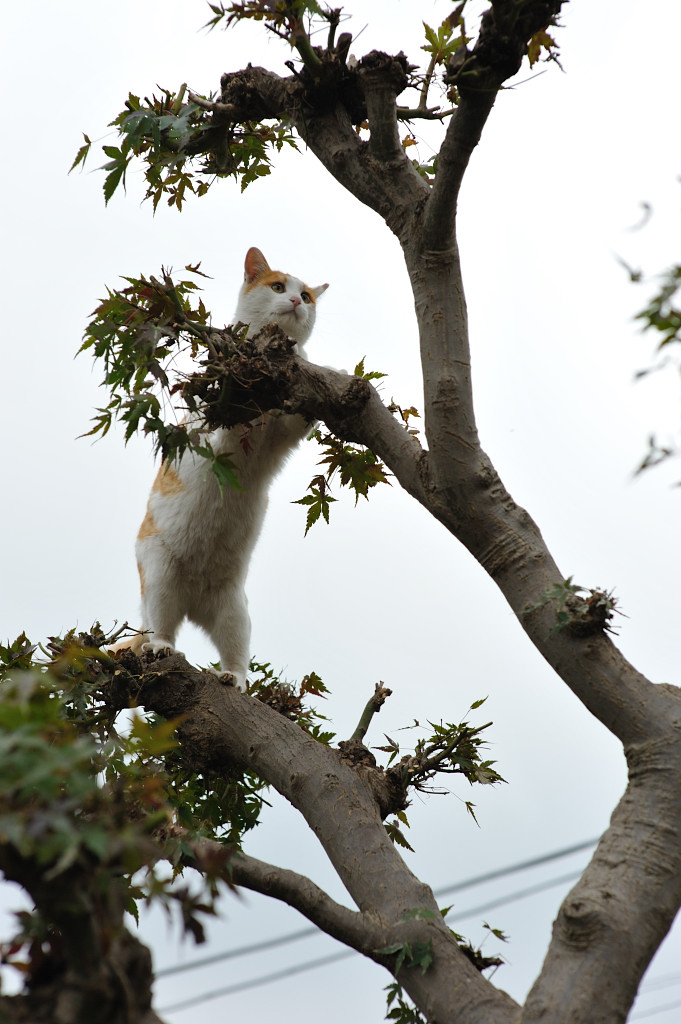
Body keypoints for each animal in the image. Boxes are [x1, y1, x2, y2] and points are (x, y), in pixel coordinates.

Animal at [115, 245, 327, 688]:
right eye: (277, 287)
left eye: (307, 296)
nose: (296, 301)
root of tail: (194, 601)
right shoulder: (218, 423)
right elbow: (228, 428)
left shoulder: (283, 433)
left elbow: (297, 417)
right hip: (159, 579)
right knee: (160, 629)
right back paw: (163, 648)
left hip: (235, 612)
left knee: (236, 654)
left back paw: (233, 678)